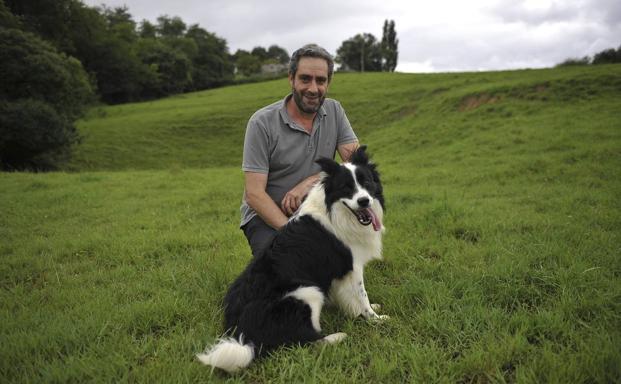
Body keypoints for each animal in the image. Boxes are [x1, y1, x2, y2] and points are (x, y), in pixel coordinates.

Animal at [196, 146, 386, 374]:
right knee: (303, 340)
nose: (364, 201)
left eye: (366, 182)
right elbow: (361, 295)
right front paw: (374, 319)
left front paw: (365, 310)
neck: (334, 211)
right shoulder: (353, 267)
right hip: (307, 291)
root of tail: (244, 335)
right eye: (346, 188)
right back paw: (337, 336)